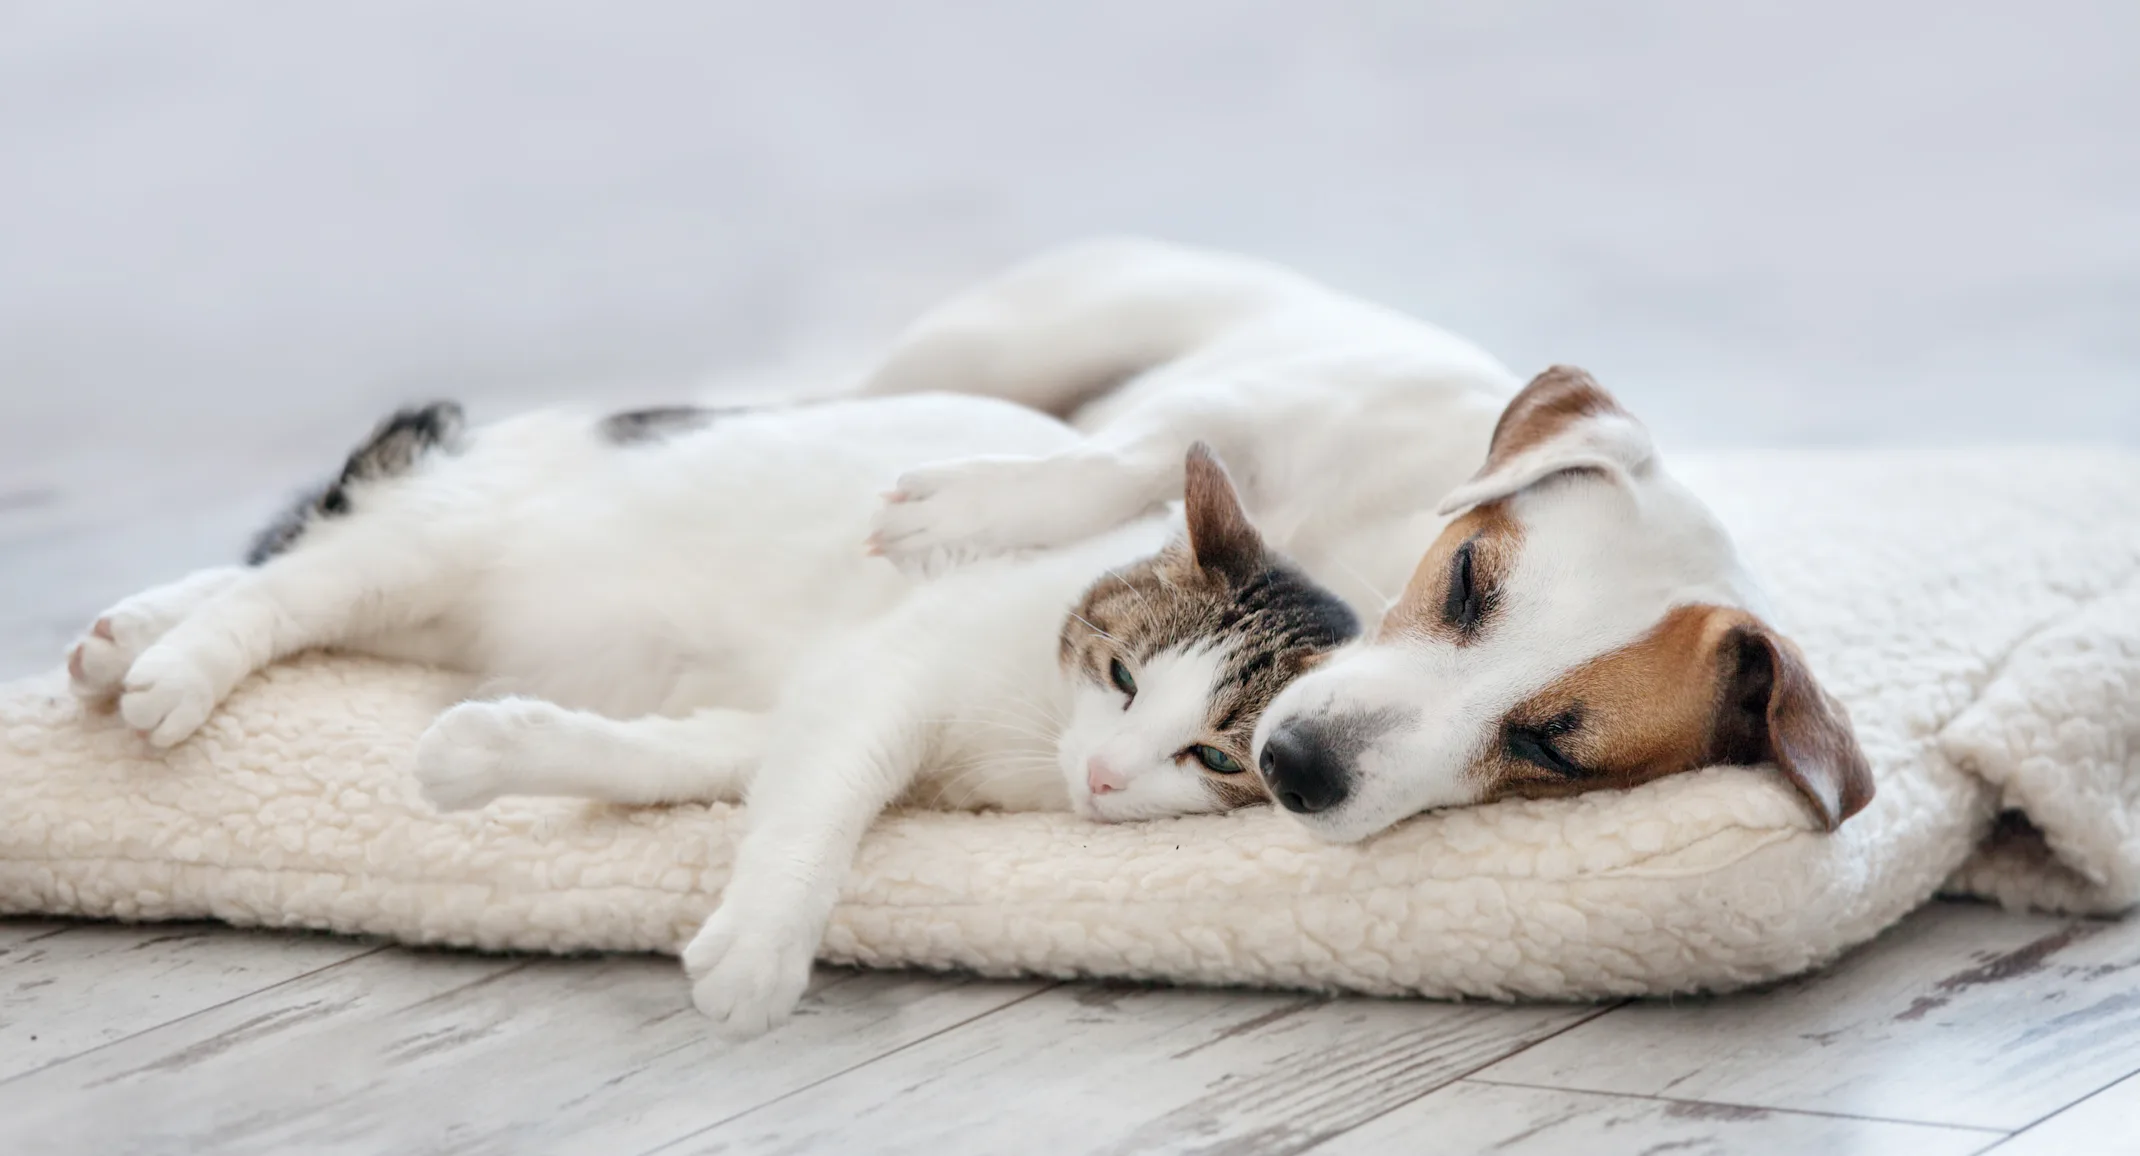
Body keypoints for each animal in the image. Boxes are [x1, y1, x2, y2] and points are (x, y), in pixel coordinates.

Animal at [66, 396, 1352, 1040]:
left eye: (1212, 755)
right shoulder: (879, 676)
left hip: (427, 600)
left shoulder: (782, 710)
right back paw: (171, 666)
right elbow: (823, 809)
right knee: (280, 589)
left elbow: (666, 759)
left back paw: (122, 638)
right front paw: (764, 945)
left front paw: (489, 751)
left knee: (294, 581)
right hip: (436, 542)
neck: (1031, 739)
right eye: (1125, 676)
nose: (1104, 777)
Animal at [860, 239, 1866, 843]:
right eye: (1466, 577)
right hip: (1012, 345)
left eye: (1553, 754)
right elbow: (1125, 457)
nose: (1295, 767)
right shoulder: (1256, 409)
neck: (1359, 568)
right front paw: (959, 508)